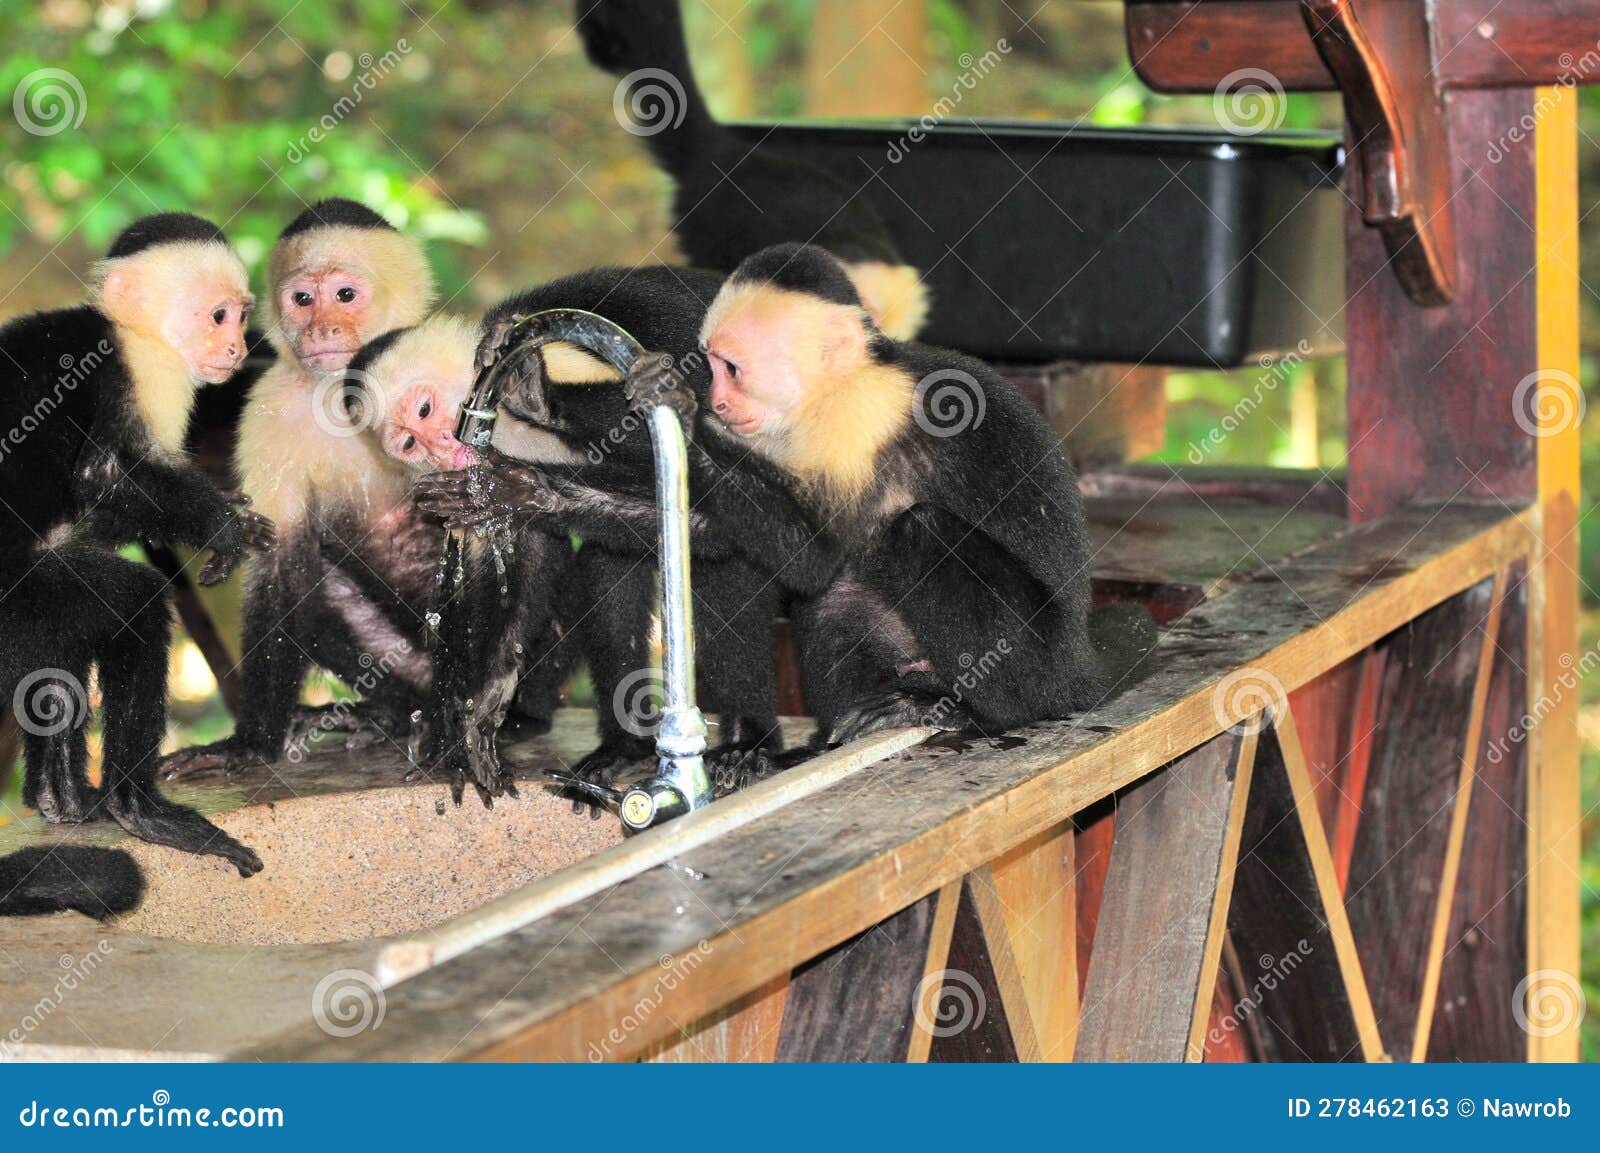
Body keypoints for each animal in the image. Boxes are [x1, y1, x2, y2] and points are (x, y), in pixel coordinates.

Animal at [0, 212, 270, 875]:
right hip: (13, 598)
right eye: (218, 316)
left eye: (241, 315)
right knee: (133, 607)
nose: (236, 349)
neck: (130, 331)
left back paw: (62, 797)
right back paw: (136, 808)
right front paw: (218, 523)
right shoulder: (143, 369)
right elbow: (99, 478)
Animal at [161, 199, 452, 780]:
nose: (321, 330)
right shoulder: (267, 408)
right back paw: (388, 714)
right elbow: (280, 564)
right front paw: (249, 744)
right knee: (318, 579)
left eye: (344, 295)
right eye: (302, 300)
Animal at [418, 245, 1156, 780]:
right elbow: (723, 533)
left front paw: (672, 404)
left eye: (730, 367)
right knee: (832, 593)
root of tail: (1082, 666)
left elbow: (811, 553)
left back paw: (976, 715)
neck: (838, 387)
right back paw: (829, 733)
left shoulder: (854, 426)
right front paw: (519, 470)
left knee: (913, 532)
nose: (711, 394)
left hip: (1042, 668)